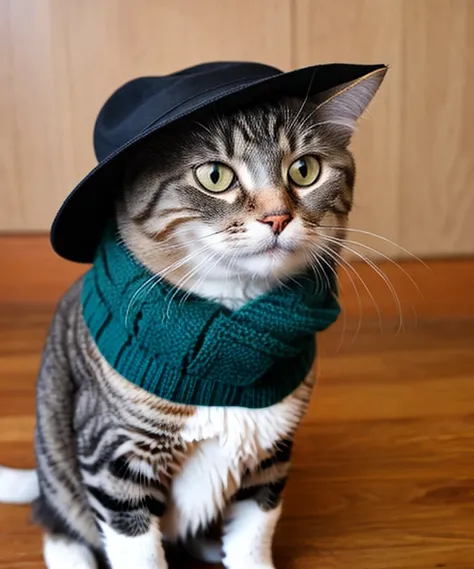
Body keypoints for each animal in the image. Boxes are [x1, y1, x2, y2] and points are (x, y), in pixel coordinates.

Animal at [0, 67, 386, 568]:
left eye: (305, 169)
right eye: (215, 176)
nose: (278, 217)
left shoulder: (272, 449)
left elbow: (254, 532)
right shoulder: (114, 453)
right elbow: (138, 550)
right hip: (57, 453)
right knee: (57, 524)